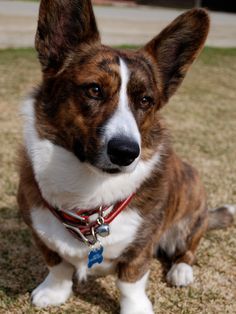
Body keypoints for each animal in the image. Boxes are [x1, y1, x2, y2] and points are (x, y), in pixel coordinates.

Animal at [17, 1, 235, 312]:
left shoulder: (141, 249)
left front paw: (136, 308)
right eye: (94, 89)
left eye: (146, 100)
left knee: (188, 249)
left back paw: (181, 270)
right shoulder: (39, 231)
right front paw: (53, 292)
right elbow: (58, 264)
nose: (126, 152)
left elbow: (130, 282)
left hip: (192, 217)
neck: (89, 195)